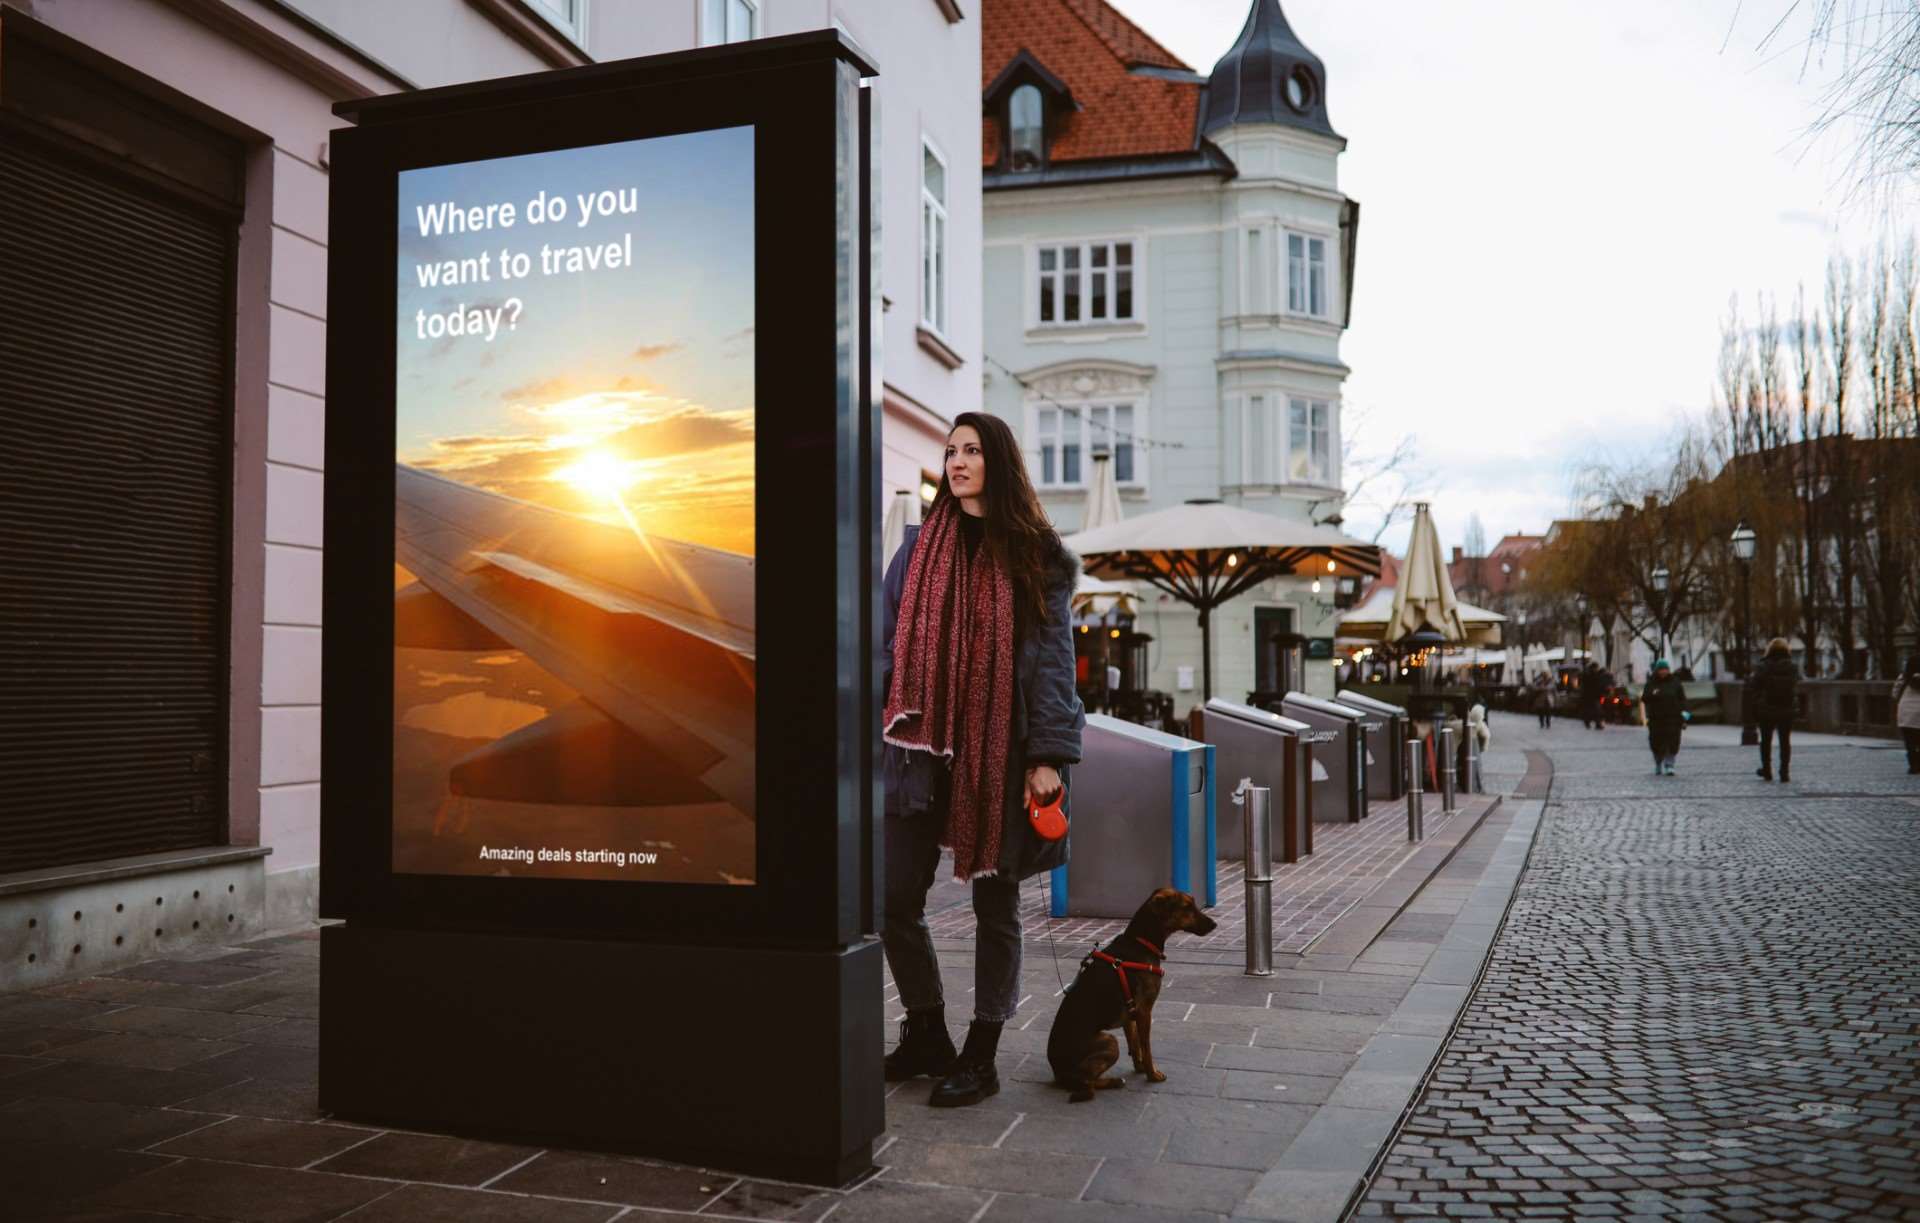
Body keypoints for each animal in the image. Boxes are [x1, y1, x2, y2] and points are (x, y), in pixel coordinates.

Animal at [1052, 883, 1213, 1098]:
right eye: (1187, 907)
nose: (1214, 924)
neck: (1141, 942)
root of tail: (1057, 1071)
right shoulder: (1145, 1011)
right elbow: (1146, 1047)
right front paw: (1152, 1075)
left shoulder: (1130, 1014)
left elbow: (1135, 1043)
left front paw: (1140, 1068)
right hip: (1109, 1041)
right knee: (1084, 1082)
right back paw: (1113, 1081)